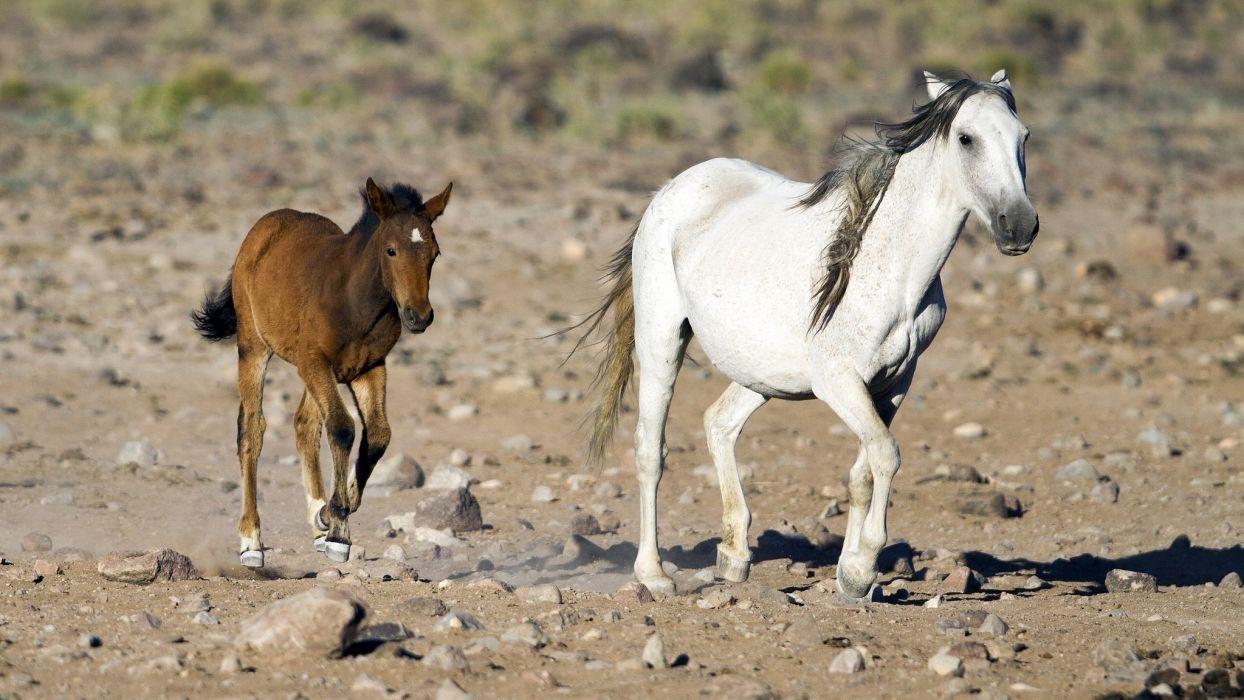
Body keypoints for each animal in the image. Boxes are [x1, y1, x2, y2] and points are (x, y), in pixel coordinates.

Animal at [192, 177, 452, 567]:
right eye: (390, 250)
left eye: (434, 254)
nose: (418, 316)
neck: (355, 302)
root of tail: (266, 225)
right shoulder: (315, 361)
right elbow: (343, 428)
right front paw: (338, 532)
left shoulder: (369, 367)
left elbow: (377, 435)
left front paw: (332, 513)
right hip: (255, 347)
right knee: (252, 430)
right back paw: (251, 542)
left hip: (317, 370)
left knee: (304, 423)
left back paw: (316, 517)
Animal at [574, 70, 1037, 601]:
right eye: (966, 138)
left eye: (1024, 137)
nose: (1019, 226)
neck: (892, 270)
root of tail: (672, 188)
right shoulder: (838, 382)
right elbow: (886, 454)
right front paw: (862, 566)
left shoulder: (895, 382)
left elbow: (863, 470)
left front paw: (852, 576)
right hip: (661, 342)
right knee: (651, 450)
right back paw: (654, 575)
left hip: (761, 373)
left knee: (719, 422)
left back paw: (734, 557)